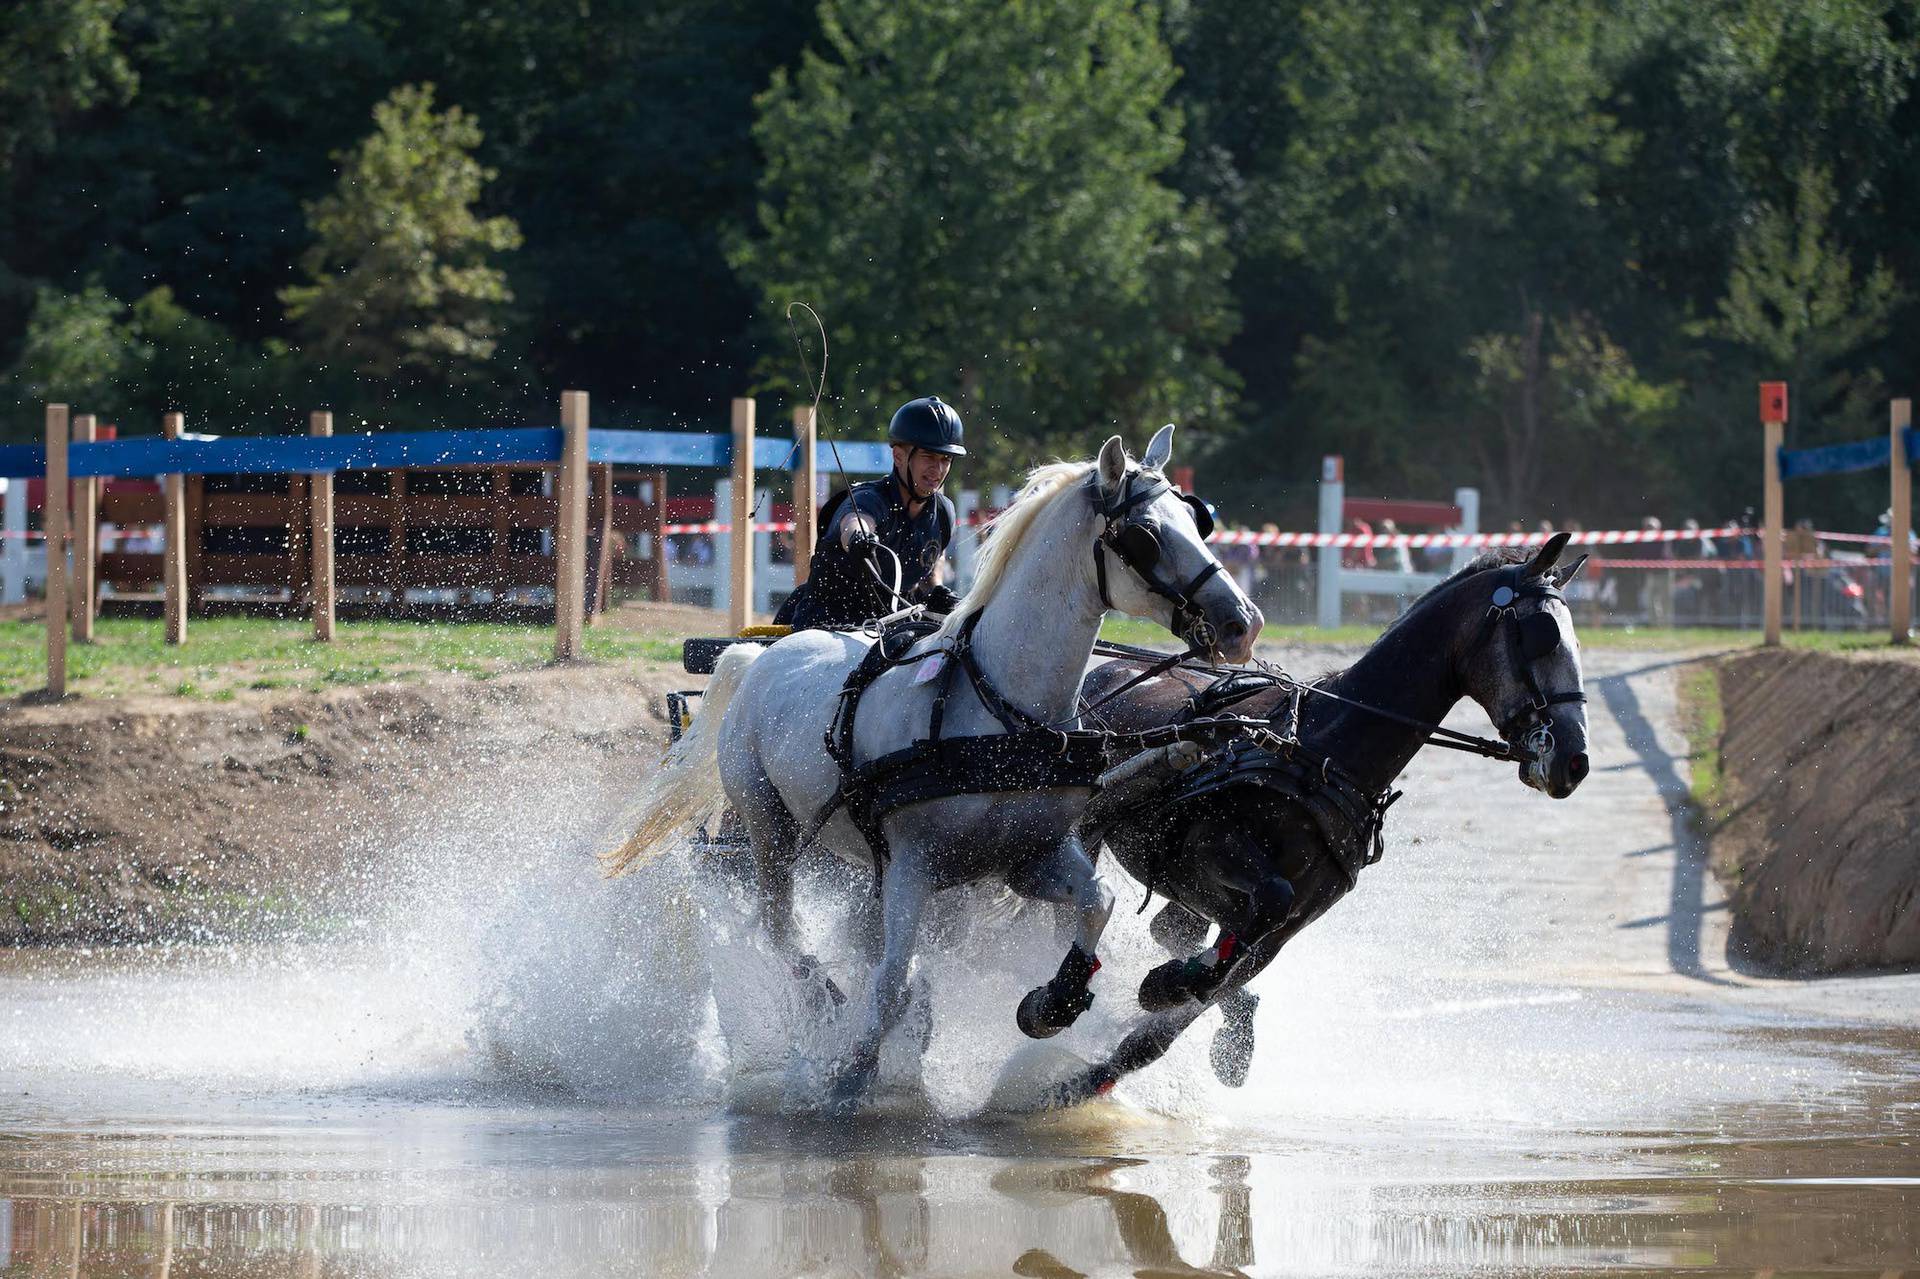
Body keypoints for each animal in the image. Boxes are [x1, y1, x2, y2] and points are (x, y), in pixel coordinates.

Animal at [602, 428, 1259, 1106]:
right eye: (1146, 534)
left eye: (1196, 519)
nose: (1242, 622)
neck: (998, 711)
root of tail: (759, 656)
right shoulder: (912, 866)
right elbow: (892, 984)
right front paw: (848, 1075)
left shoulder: (1031, 857)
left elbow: (1096, 901)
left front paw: (1053, 1002)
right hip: (769, 830)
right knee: (783, 931)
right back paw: (824, 1005)